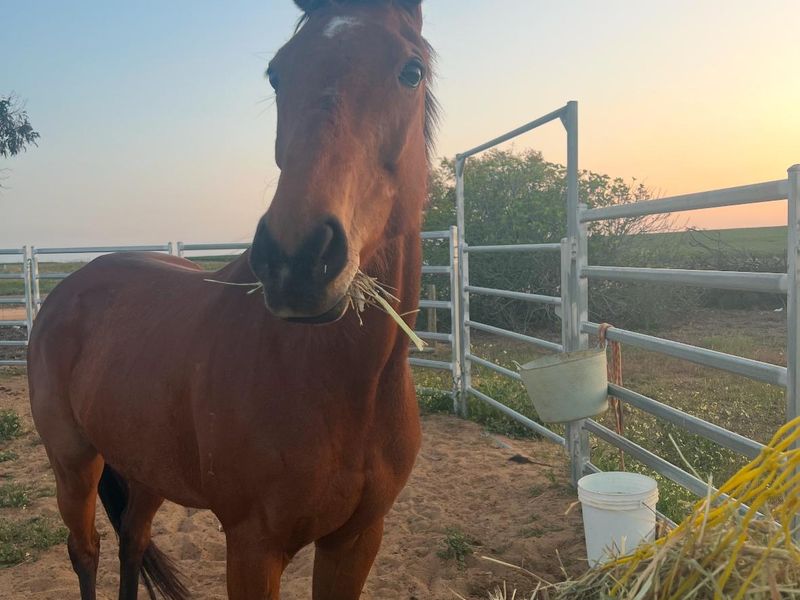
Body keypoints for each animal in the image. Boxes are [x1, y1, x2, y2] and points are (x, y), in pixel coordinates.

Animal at [27, 1, 437, 598]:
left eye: (411, 71)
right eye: (277, 73)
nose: (297, 257)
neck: (346, 386)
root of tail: (68, 289)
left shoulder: (357, 540)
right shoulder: (252, 546)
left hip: (145, 466)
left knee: (131, 541)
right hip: (74, 463)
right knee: (86, 550)